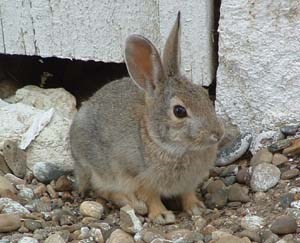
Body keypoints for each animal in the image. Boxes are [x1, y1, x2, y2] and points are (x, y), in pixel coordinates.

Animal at [70, 12, 224, 224]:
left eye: (205, 94)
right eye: (179, 111)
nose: (218, 134)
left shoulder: (188, 182)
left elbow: (187, 193)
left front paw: (196, 207)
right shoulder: (138, 177)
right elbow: (152, 198)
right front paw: (161, 215)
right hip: (98, 170)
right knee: (103, 191)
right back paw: (134, 204)